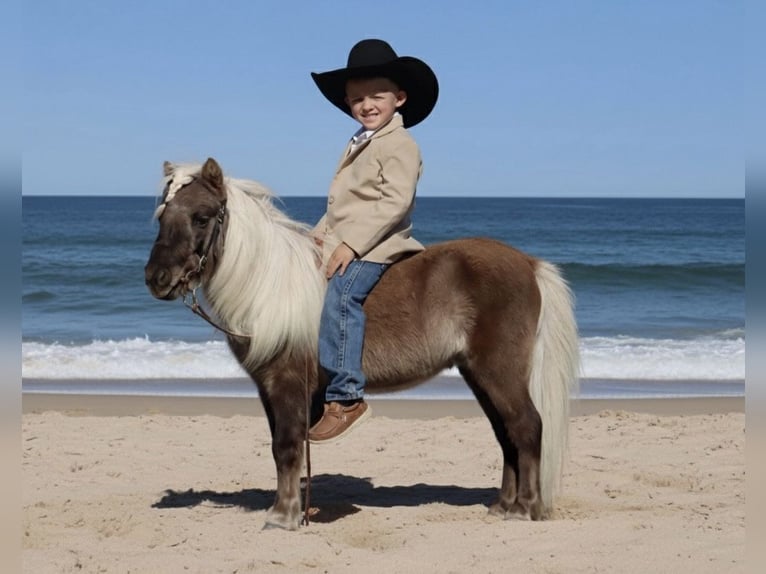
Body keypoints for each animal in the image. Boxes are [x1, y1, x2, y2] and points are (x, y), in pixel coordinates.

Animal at [144, 157, 579, 530]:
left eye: (201, 216)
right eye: (162, 216)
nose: (156, 278)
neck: (269, 285)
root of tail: (528, 264)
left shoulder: (287, 384)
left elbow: (287, 447)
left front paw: (282, 517)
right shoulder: (269, 389)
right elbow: (281, 449)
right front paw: (290, 510)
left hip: (499, 372)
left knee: (526, 426)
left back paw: (523, 509)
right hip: (479, 374)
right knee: (506, 435)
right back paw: (502, 505)